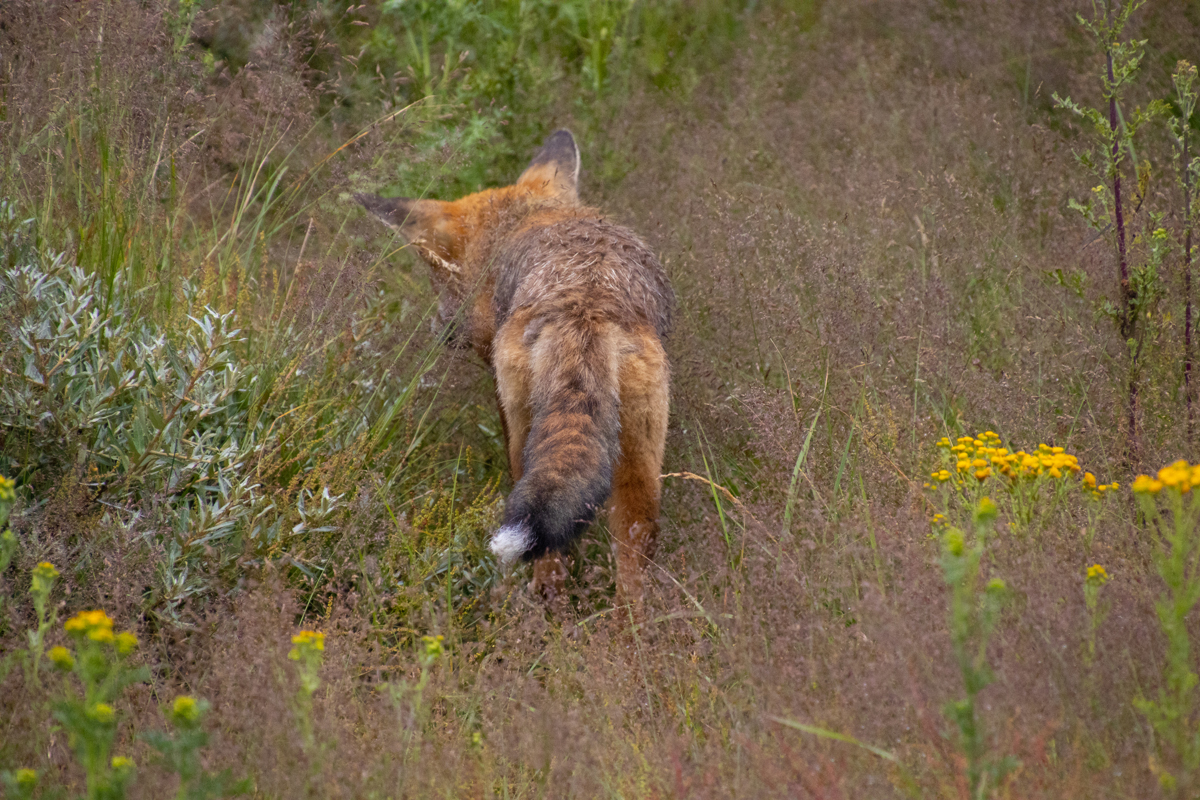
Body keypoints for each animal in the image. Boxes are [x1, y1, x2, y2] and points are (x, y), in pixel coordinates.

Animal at [355, 130, 673, 609]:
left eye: (438, 277)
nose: (440, 330)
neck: (531, 218)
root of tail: (585, 305)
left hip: (530, 441)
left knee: (550, 559)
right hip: (639, 465)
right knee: (634, 557)